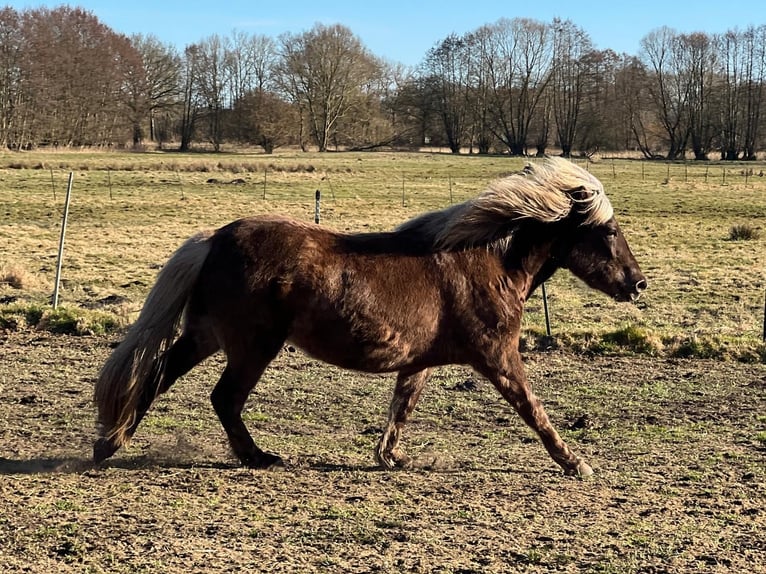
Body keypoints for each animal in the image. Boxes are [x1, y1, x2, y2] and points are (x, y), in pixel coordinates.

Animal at [93, 157, 647, 477]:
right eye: (608, 231)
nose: (638, 284)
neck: (487, 263)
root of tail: (215, 239)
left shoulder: (419, 362)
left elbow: (401, 409)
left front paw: (390, 457)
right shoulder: (498, 357)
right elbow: (534, 411)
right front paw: (575, 462)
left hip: (206, 335)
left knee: (156, 376)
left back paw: (108, 444)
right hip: (252, 347)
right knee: (223, 397)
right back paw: (257, 457)